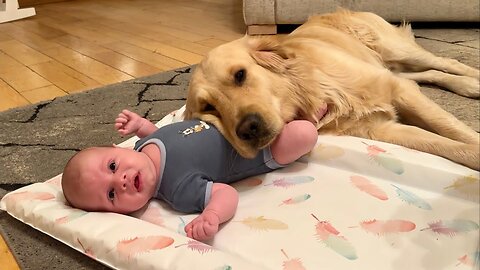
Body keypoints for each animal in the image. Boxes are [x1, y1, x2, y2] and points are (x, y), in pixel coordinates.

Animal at [185, 9, 480, 170]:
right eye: (209, 107)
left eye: (240, 75)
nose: (247, 129)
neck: (317, 92)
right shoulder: (381, 128)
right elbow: (444, 144)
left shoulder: (397, 91)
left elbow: (454, 130)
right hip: (392, 66)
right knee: (425, 75)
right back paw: (466, 85)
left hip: (395, 49)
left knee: (445, 62)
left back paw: (473, 79)